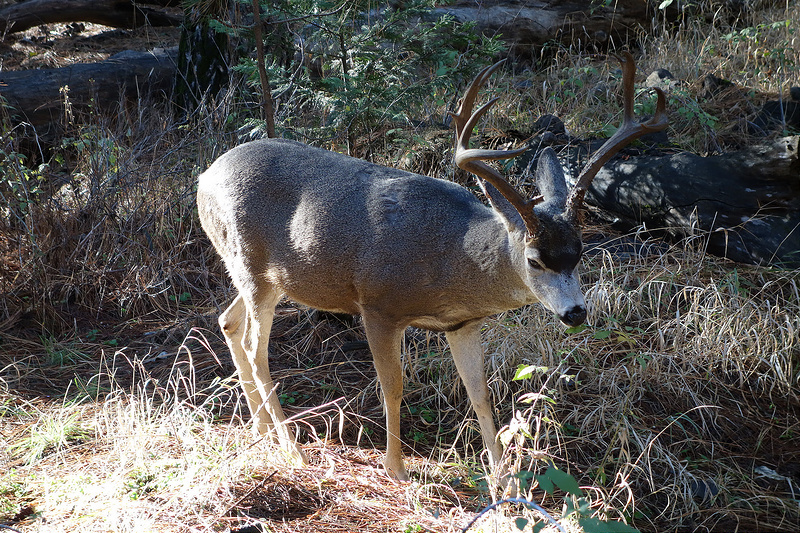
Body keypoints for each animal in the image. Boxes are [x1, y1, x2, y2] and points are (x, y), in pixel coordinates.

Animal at [198, 52, 668, 480]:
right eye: (534, 260)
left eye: (580, 251)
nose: (575, 313)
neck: (451, 259)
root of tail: (204, 178)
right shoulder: (378, 305)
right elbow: (393, 386)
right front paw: (396, 469)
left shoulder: (462, 324)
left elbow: (480, 394)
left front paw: (502, 479)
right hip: (254, 267)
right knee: (256, 349)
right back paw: (292, 450)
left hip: (256, 274)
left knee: (228, 322)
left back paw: (261, 432)